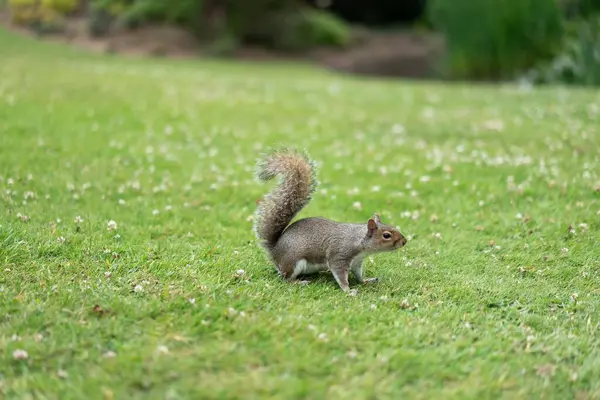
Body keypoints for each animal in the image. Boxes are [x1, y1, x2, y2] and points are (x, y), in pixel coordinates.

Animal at [253, 148, 408, 294]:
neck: (359, 239)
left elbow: (358, 274)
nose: (404, 241)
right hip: (293, 262)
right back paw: (298, 282)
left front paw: (365, 281)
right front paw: (348, 291)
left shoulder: (357, 262)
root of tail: (275, 250)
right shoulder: (339, 256)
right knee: (286, 278)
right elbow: (340, 275)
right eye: (386, 235)